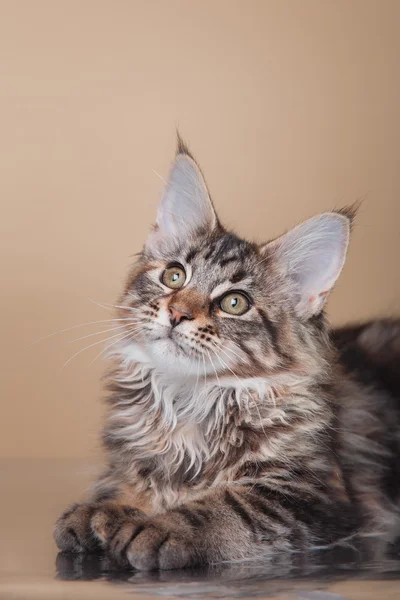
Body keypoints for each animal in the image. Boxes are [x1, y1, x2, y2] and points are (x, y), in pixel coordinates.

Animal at [54, 137, 400, 572]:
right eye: (174, 276)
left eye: (235, 303)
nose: (177, 312)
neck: (189, 400)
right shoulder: (132, 459)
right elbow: (127, 481)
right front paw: (106, 508)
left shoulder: (316, 493)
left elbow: (229, 505)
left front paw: (159, 526)